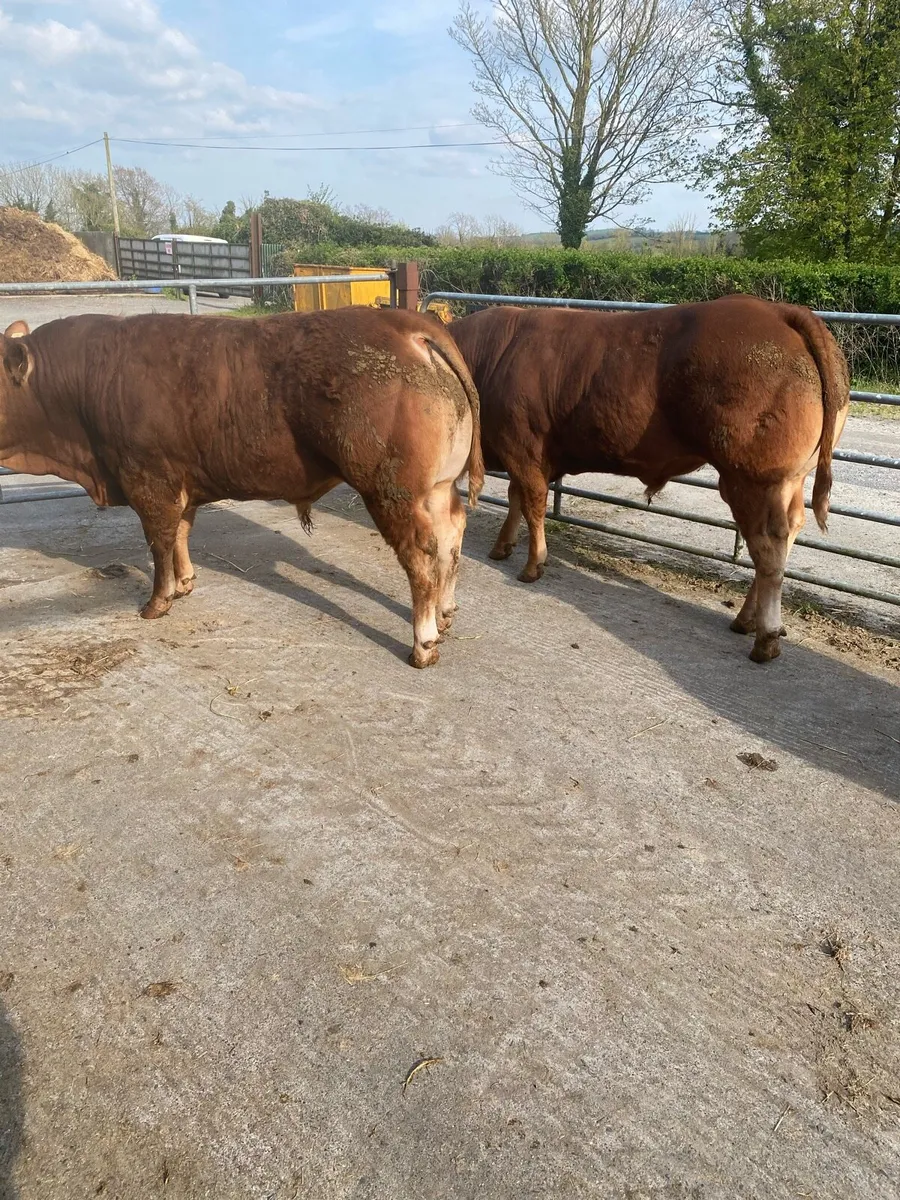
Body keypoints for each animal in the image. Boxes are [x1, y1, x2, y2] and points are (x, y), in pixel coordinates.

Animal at [0, 307, 484, 668]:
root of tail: (407, 325)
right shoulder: (183, 481)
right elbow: (181, 531)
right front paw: (186, 582)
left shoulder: (148, 479)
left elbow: (159, 541)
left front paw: (157, 602)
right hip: (436, 488)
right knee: (450, 535)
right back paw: (445, 612)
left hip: (391, 490)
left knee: (421, 554)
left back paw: (423, 642)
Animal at [448, 296, 850, 663]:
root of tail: (778, 310)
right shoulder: (520, 455)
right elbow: (516, 498)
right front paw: (501, 547)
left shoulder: (523, 448)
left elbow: (531, 504)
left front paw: (533, 566)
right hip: (789, 481)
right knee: (786, 536)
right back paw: (745, 619)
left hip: (752, 479)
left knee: (767, 546)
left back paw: (765, 637)